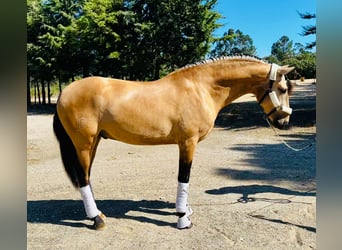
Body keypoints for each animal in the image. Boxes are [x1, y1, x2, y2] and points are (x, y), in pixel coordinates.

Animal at [52, 55, 294, 230]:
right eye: (282, 89)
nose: (284, 122)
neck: (201, 87)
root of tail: (64, 92)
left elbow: (186, 178)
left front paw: (186, 210)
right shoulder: (188, 142)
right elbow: (183, 177)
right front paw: (182, 218)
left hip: (92, 144)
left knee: (86, 177)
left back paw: (97, 214)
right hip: (83, 144)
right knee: (83, 178)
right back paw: (97, 219)